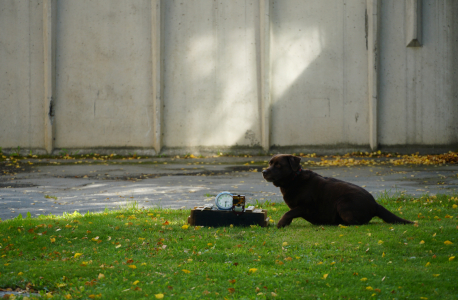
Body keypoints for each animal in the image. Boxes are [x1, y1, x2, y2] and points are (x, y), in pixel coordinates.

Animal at [262, 155, 414, 227]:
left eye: (278, 165)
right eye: (270, 163)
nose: (263, 171)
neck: (294, 179)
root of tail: (375, 204)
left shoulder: (305, 207)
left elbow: (289, 213)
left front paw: (281, 223)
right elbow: (290, 213)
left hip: (343, 203)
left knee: (356, 223)